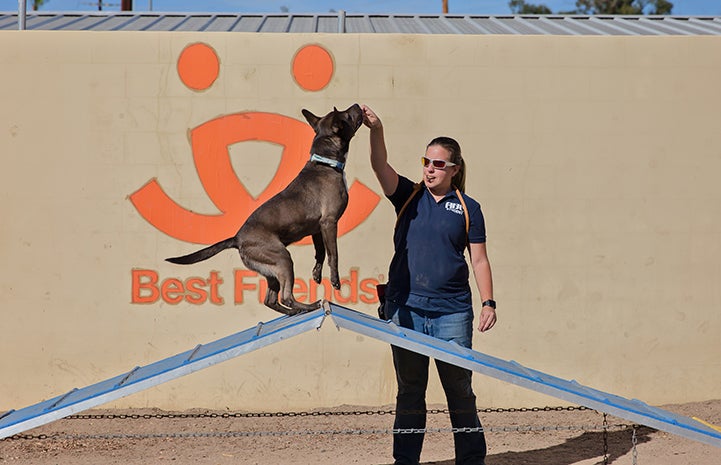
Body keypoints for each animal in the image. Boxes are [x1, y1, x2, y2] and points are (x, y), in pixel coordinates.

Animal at [166, 104, 362, 316]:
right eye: (347, 115)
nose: (357, 106)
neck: (325, 162)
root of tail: (237, 238)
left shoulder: (317, 229)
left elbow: (320, 253)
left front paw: (317, 275)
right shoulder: (329, 223)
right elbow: (333, 255)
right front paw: (335, 281)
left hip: (271, 268)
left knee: (271, 300)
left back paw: (295, 312)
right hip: (283, 259)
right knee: (286, 297)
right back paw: (309, 306)